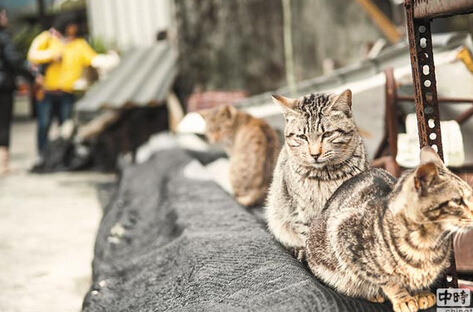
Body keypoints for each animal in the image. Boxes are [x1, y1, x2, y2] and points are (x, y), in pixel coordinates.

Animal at [306, 146, 472, 312]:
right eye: (457, 201)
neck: (427, 242)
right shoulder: (343, 233)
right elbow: (387, 280)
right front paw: (403, 298)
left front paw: (421, 293)